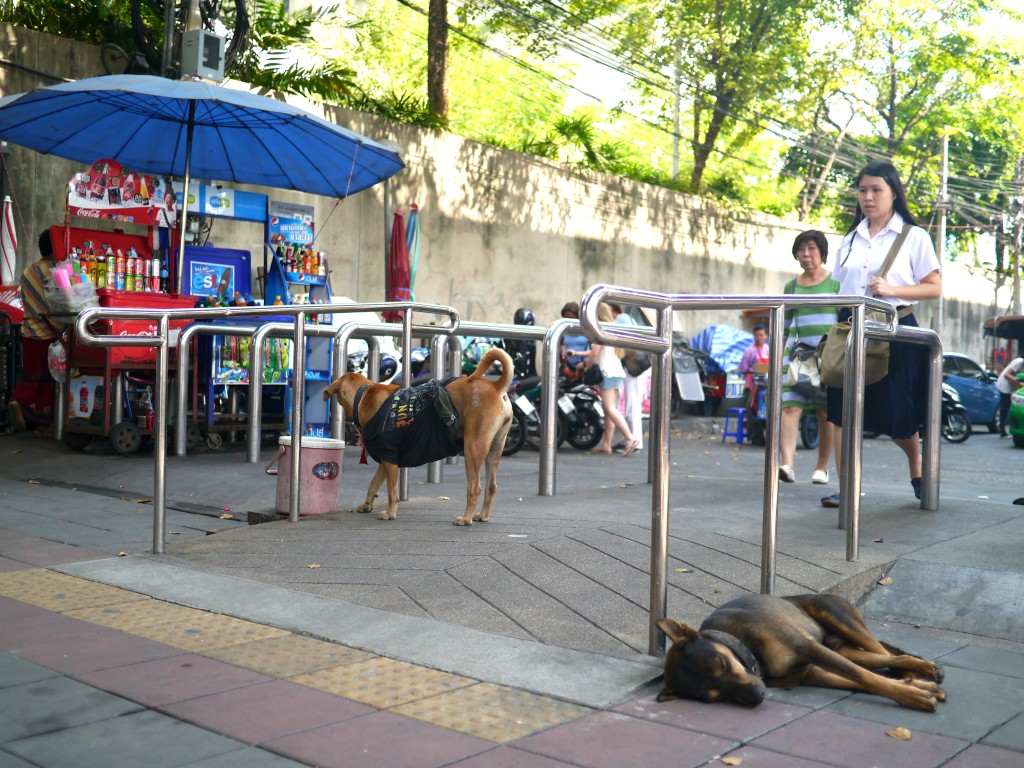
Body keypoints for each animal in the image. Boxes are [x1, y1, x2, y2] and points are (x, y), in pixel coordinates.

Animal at [325, 350, 512, 528]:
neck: (363, 396)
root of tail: (496, 386)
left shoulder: (389, 456)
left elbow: (391, 491)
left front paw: (390, 513)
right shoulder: (387, 458)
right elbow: (373, 483)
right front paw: (367, 504)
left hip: (473, 448)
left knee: (475, 488)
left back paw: (466, 518)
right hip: (495, 450)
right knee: (491, 487)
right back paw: (483, 515)